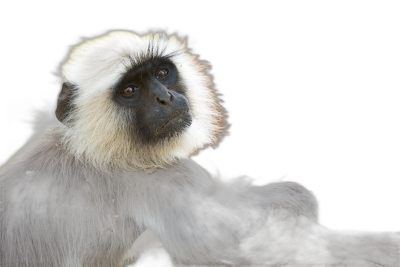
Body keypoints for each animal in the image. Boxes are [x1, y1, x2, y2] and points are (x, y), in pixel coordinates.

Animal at [0, 30, 318, 266]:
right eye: (130, 90)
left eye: (162, 73)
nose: (164, 97)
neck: (84, 143)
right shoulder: (140, 174)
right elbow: (200, 226)